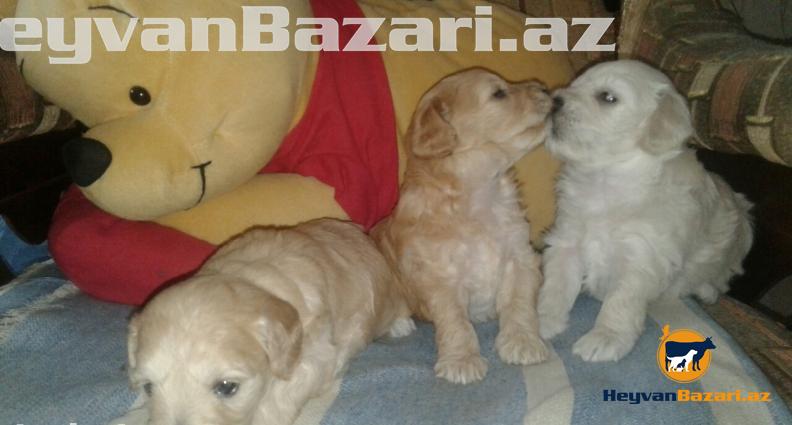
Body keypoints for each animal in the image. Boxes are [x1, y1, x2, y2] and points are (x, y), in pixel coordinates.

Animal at [127, 219, 414, 425]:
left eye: (227, 388)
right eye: (149, 387)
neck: (252, 281)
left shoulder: (320, 355)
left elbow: (280, 397)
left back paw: (401, 325)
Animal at [374, 69, 551, 384]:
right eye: (499, 93)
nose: (545, 89)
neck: (480, 193)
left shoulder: (520, 258)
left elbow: (519, 304)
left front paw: (523, 342)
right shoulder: (441, 278)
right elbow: (456, 321)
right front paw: (461, 361)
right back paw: (399, 324)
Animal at [537, 60, 753, 362]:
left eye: (607, 97)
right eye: (574, 84)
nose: (553, 101)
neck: (608, 179)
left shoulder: (642, 257)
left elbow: (620, 302)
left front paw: (605, 337)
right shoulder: (567, 240)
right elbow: (556, 284)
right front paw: (542, 322)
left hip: (744, 233)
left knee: (720, 278)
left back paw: (707, 289)